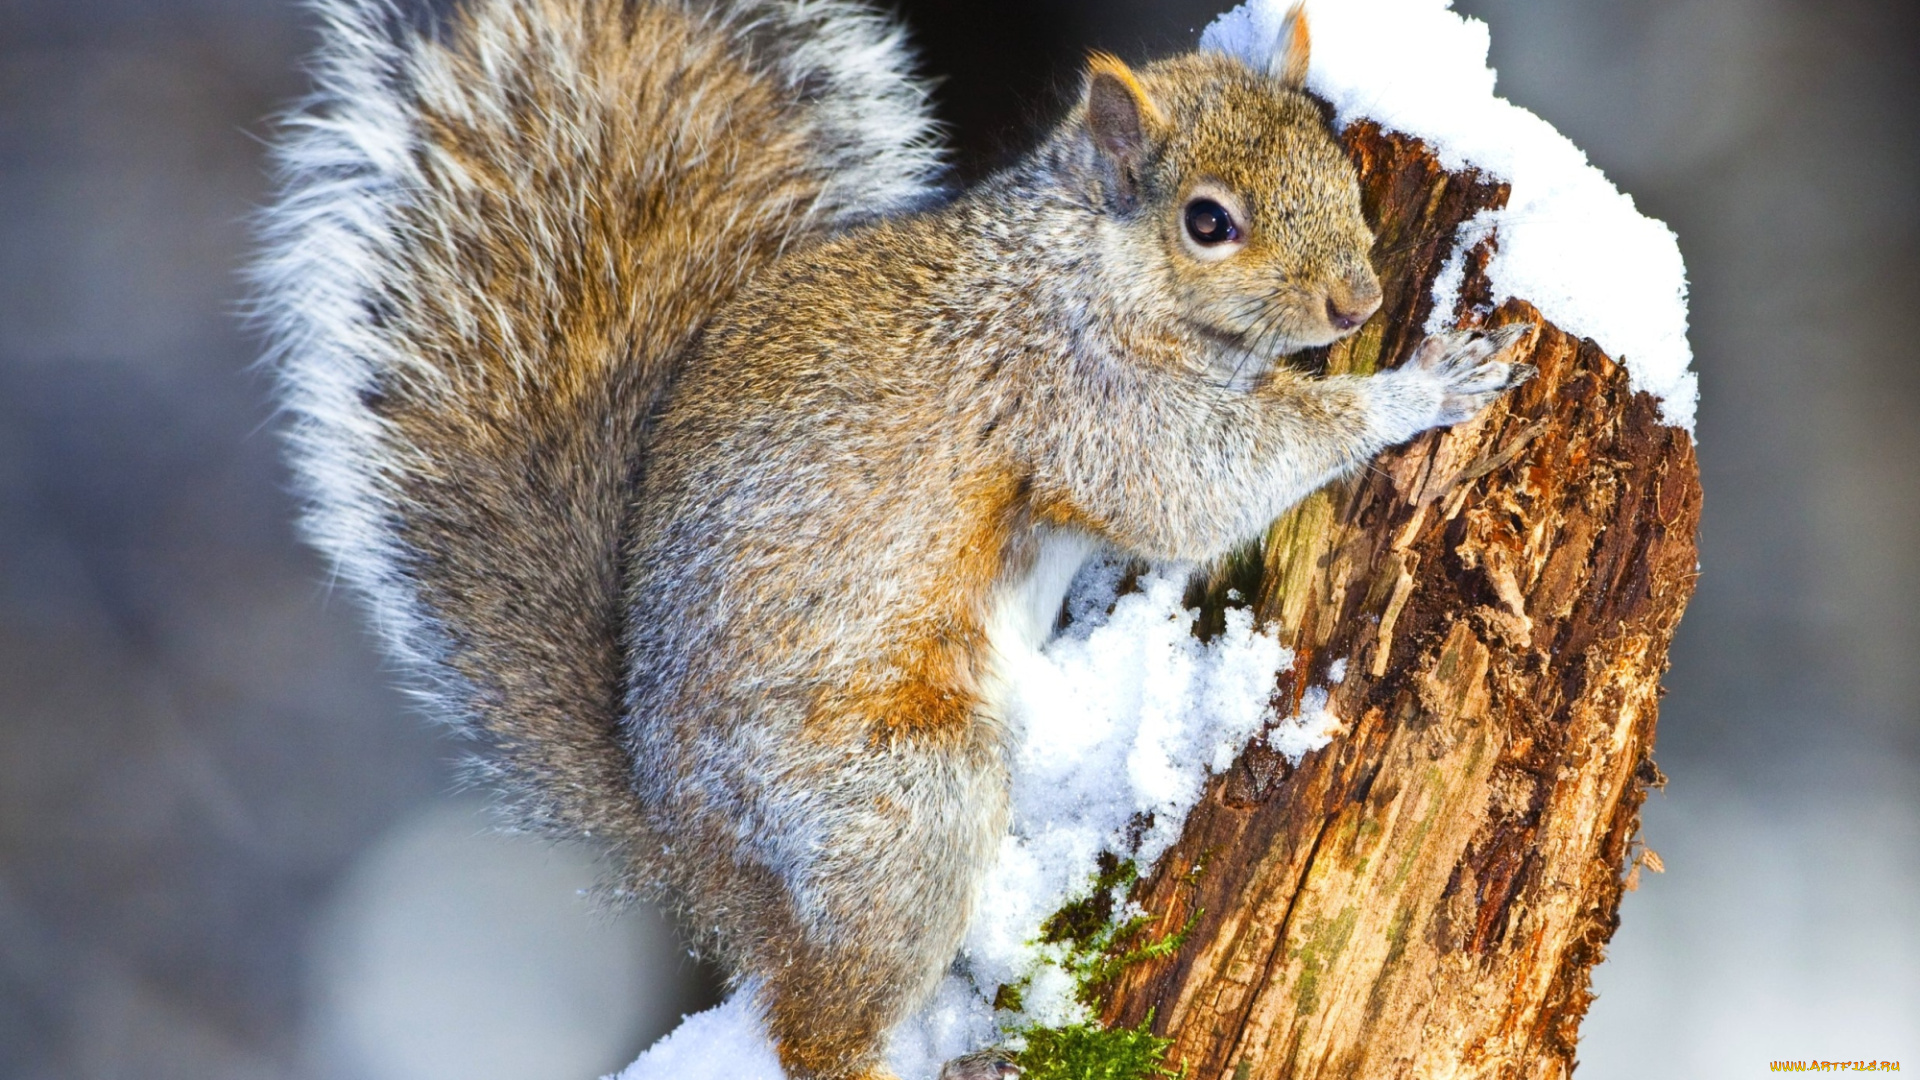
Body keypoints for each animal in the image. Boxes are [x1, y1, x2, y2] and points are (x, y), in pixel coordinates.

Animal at [259, 2, 1528, 1076]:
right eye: (1208, 222)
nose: (1360, 305)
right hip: (892, 803)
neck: (1087, 262)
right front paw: (1417, 389)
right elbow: (1192, 484)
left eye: (1340, 169)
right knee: (819, 1027)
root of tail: (690, 857)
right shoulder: (1077, 396)